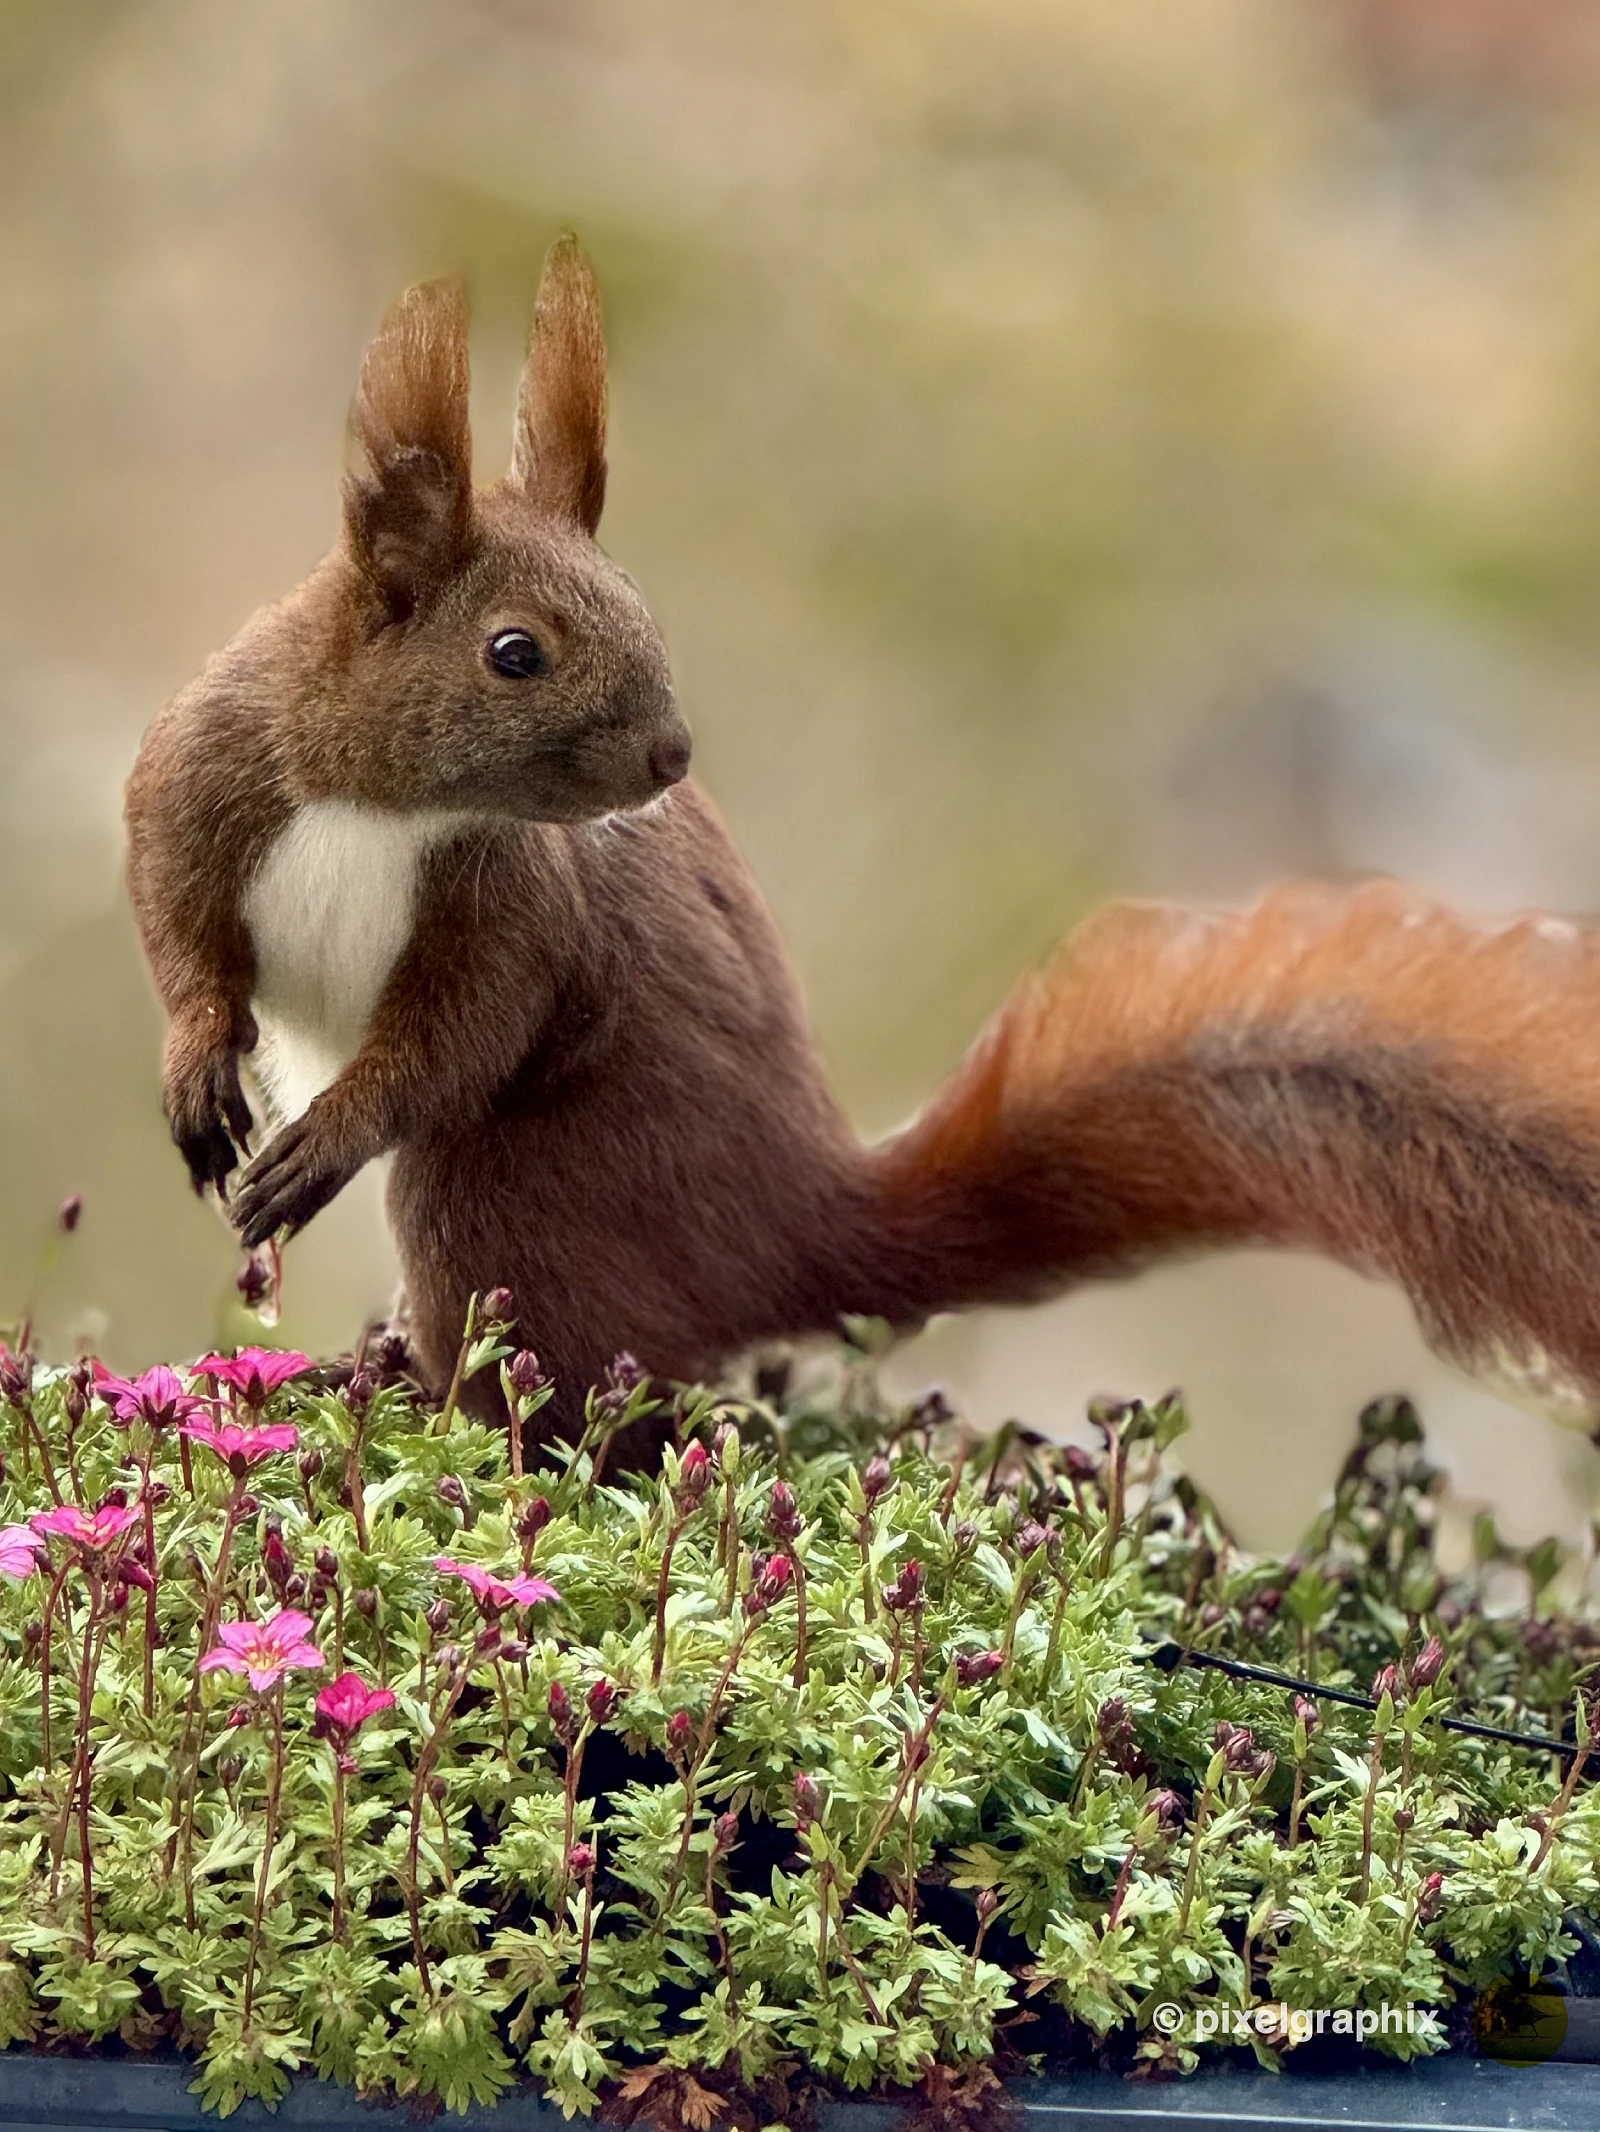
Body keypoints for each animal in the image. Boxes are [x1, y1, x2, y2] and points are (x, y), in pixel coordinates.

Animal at [126, 237, 1600, 1438]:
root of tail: (799, 1233)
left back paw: (415, 1392)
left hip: (507, 1192)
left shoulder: (515, 904)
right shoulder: (207, 774)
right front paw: (200, 1071)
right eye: (514, 652)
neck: (389, 804)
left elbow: (460, 1032)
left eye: (643, 606)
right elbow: (177, 921)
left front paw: (316, 1144)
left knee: (558, 1385)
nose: (672, 759)